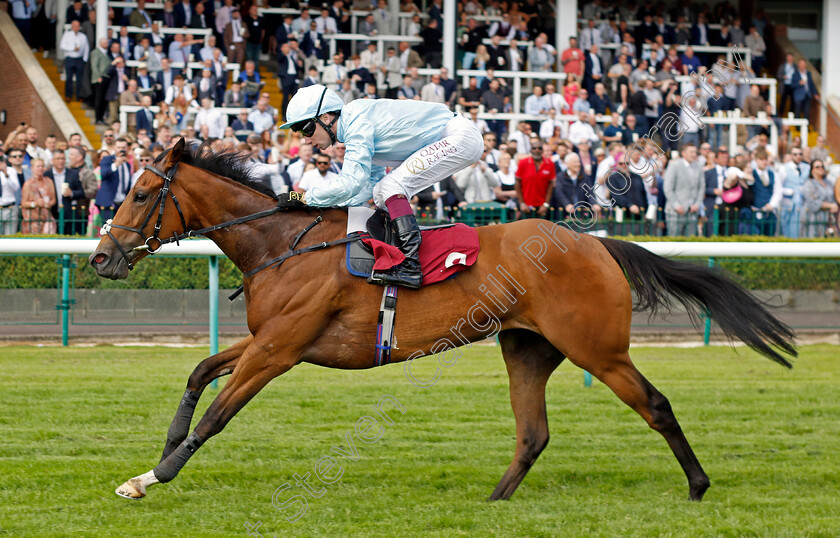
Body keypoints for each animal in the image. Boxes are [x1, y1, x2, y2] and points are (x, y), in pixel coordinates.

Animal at [92, 139, 796, 502]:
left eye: (140, 193)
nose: (101, 257)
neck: (282, 245)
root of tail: (596, 244)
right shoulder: (266, 340)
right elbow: (197, 372)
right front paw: (160, 452)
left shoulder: (279, 350)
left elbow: (217, 413)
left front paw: (153, 476)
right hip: (528, 347)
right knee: (533, 433)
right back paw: (494, 500)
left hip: (598, 350)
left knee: (656, 405)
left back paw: (698, 486)